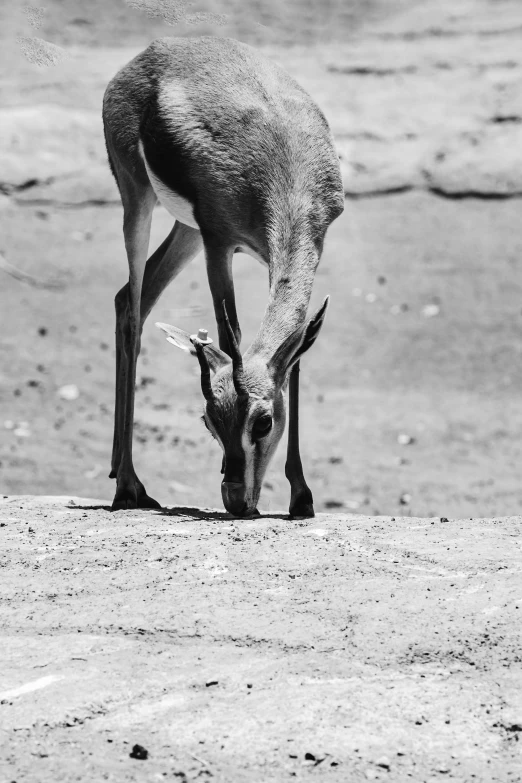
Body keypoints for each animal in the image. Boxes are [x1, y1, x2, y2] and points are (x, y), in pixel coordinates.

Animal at [103, 35, 344, 516]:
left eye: (264, 421)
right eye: (209, 418)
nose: (234, 499)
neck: (284, 171)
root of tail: (151, 52)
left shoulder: (301, 249)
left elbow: (293, 358)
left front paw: (301, 496)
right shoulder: (220, 245)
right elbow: (229, 331)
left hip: (187, 230)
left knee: (128, 298)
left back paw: (120, 473)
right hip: (138, 201)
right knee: (134, 311)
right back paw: (129, 486)